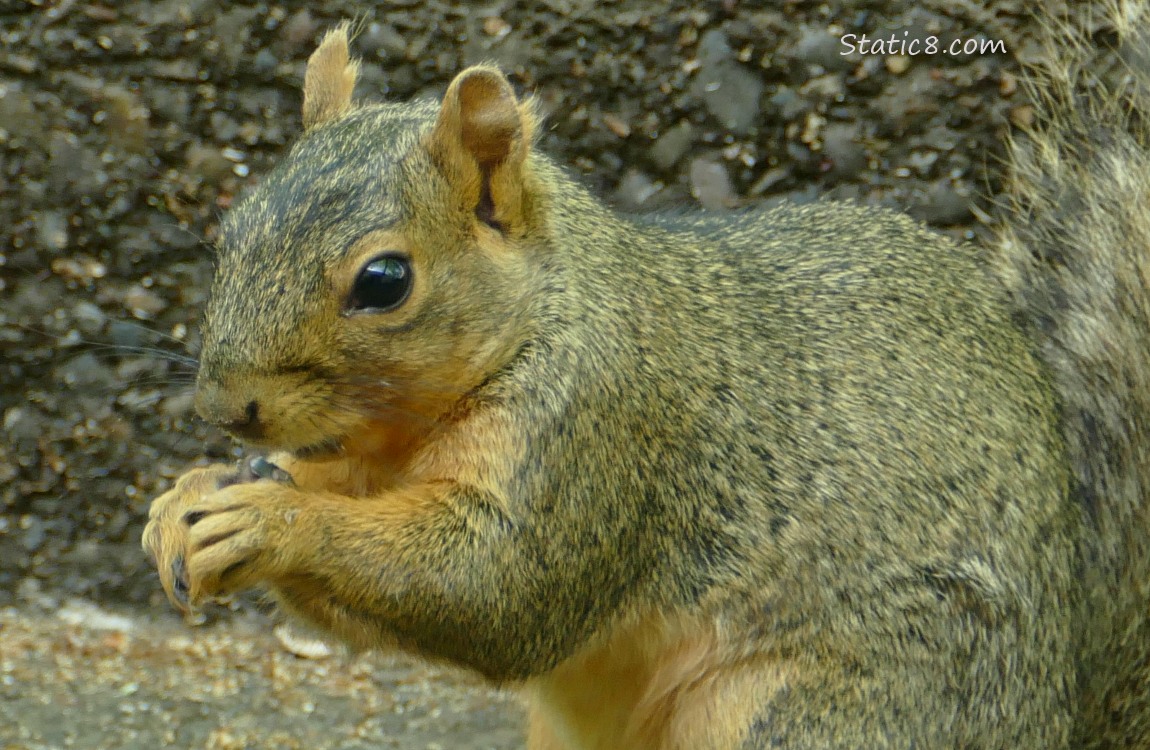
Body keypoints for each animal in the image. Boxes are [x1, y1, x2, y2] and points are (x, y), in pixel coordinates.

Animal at [141, 5, 1150, 750]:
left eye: (384, 281)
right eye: (230, 234)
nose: (224, 410)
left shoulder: (605, 428)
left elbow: (496, 592)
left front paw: (268, 519)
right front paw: (186, 500)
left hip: (824, 712)